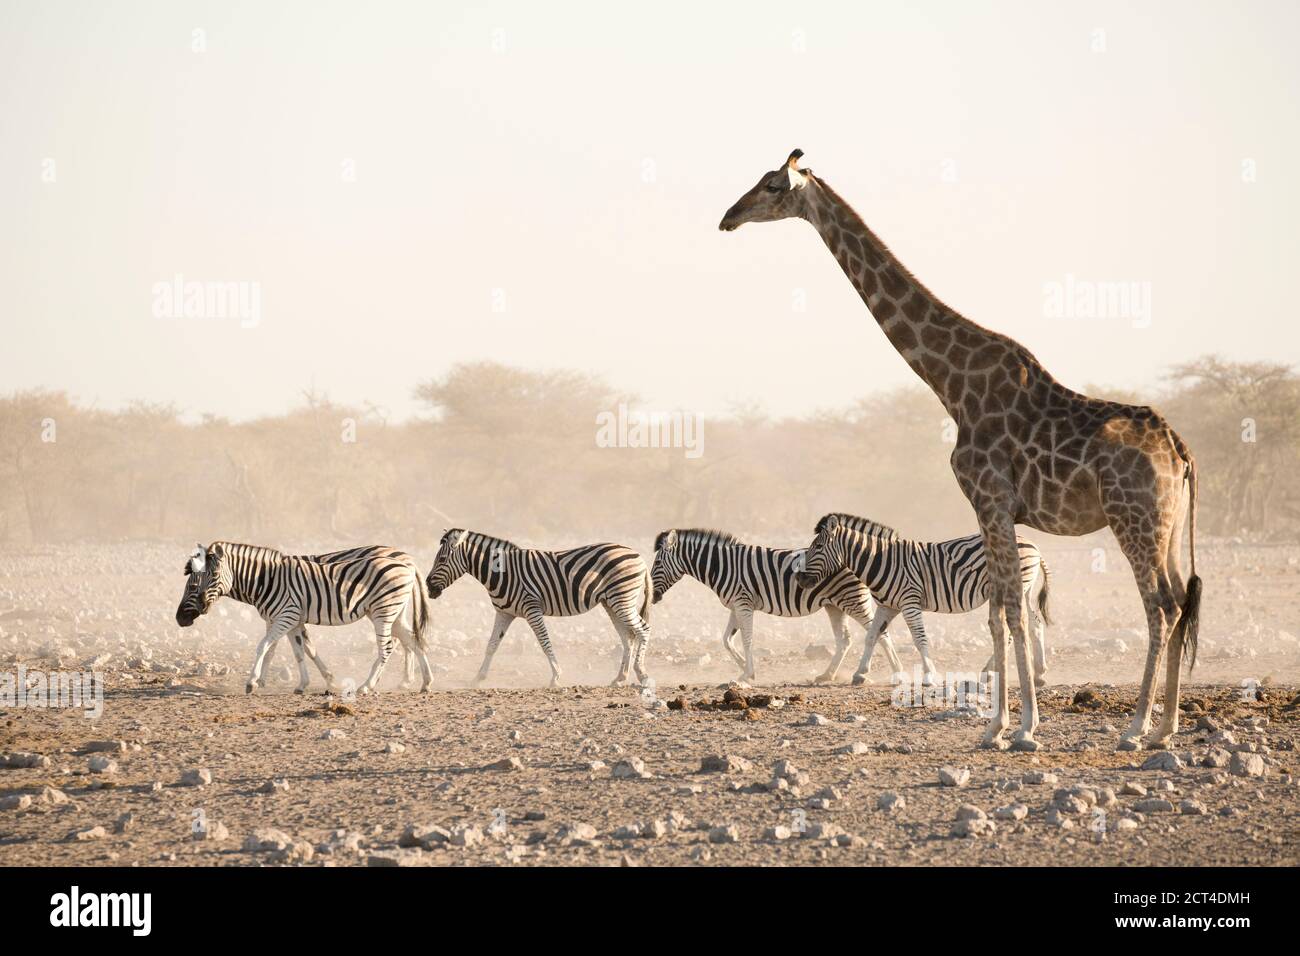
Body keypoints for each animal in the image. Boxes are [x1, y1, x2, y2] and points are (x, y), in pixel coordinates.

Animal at [175, 542, 433, 695]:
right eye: (191, 584)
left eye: (211, 577)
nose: (180, 620)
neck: (265, 580)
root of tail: (407, 563)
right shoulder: (291, 619)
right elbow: (300, 650)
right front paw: (305, 684)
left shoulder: (286, 616)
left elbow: (265, 646)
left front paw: (253, 681)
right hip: (394, 612)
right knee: (413, 639)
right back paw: (425, 682)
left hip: (383, 611)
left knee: (388, 646)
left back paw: (366, 686)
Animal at [424, 529, 653, 688]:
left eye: (441, 559)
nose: (427, 587)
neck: (502, 573)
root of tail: (638, 555)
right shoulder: (504, 613)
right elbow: (491, 645)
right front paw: (477, 678)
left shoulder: (531, 608)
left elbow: (544, 642)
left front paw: (556, 677)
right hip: (611, 603)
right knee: (627, 637)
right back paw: (620, 678)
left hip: (622, 599)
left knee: (643, 629)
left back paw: (642, 673)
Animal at [651, 528, 904, 684]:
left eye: (658, 562)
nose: (651, 596)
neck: (721, 566)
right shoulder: (735, 606)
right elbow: (726, 640)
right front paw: (744, 668)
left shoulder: (743, 603)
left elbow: (746, 639)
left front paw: (747, 673)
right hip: (835, 605)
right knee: (845, 640)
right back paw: (826, 675)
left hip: (853, 600)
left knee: (880, 633)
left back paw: (892, 673)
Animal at [795, 513, 1052, 686]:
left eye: (818, 546)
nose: (799, 578)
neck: (881, 561)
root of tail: (1034, 546)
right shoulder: (887, 606)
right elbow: (872, 636)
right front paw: (860, 673)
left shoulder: (910, 602)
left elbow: (919, 639)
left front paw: (929, 675)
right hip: (1024, 589)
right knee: (1035, 624)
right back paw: (1039, 673)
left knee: (1012, 630)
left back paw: (991, 672)